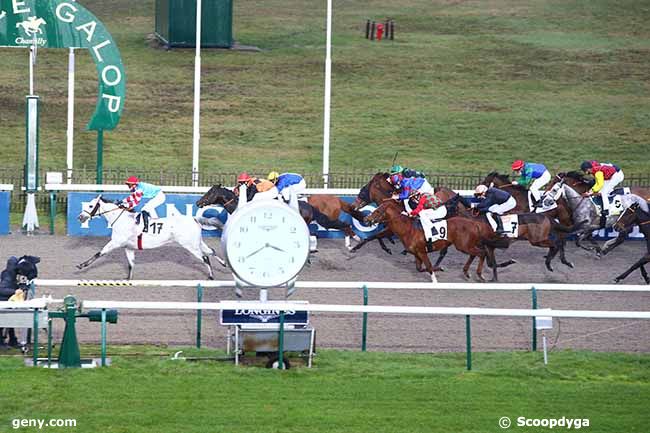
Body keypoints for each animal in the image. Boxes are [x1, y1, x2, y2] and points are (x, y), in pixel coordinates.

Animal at [74, 195, 223, 278]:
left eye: (91, 205)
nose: (80, 217)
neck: (121, 219)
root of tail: (194, 219)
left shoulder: (115, 242)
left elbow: (99, 253)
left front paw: (81, 265)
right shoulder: (128, 247)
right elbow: (131, 265)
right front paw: (128, 280)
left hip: (190, 245)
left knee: (205, 258)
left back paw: (211, 277)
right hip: (197, 242)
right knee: (211, 251)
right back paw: (223, 264)